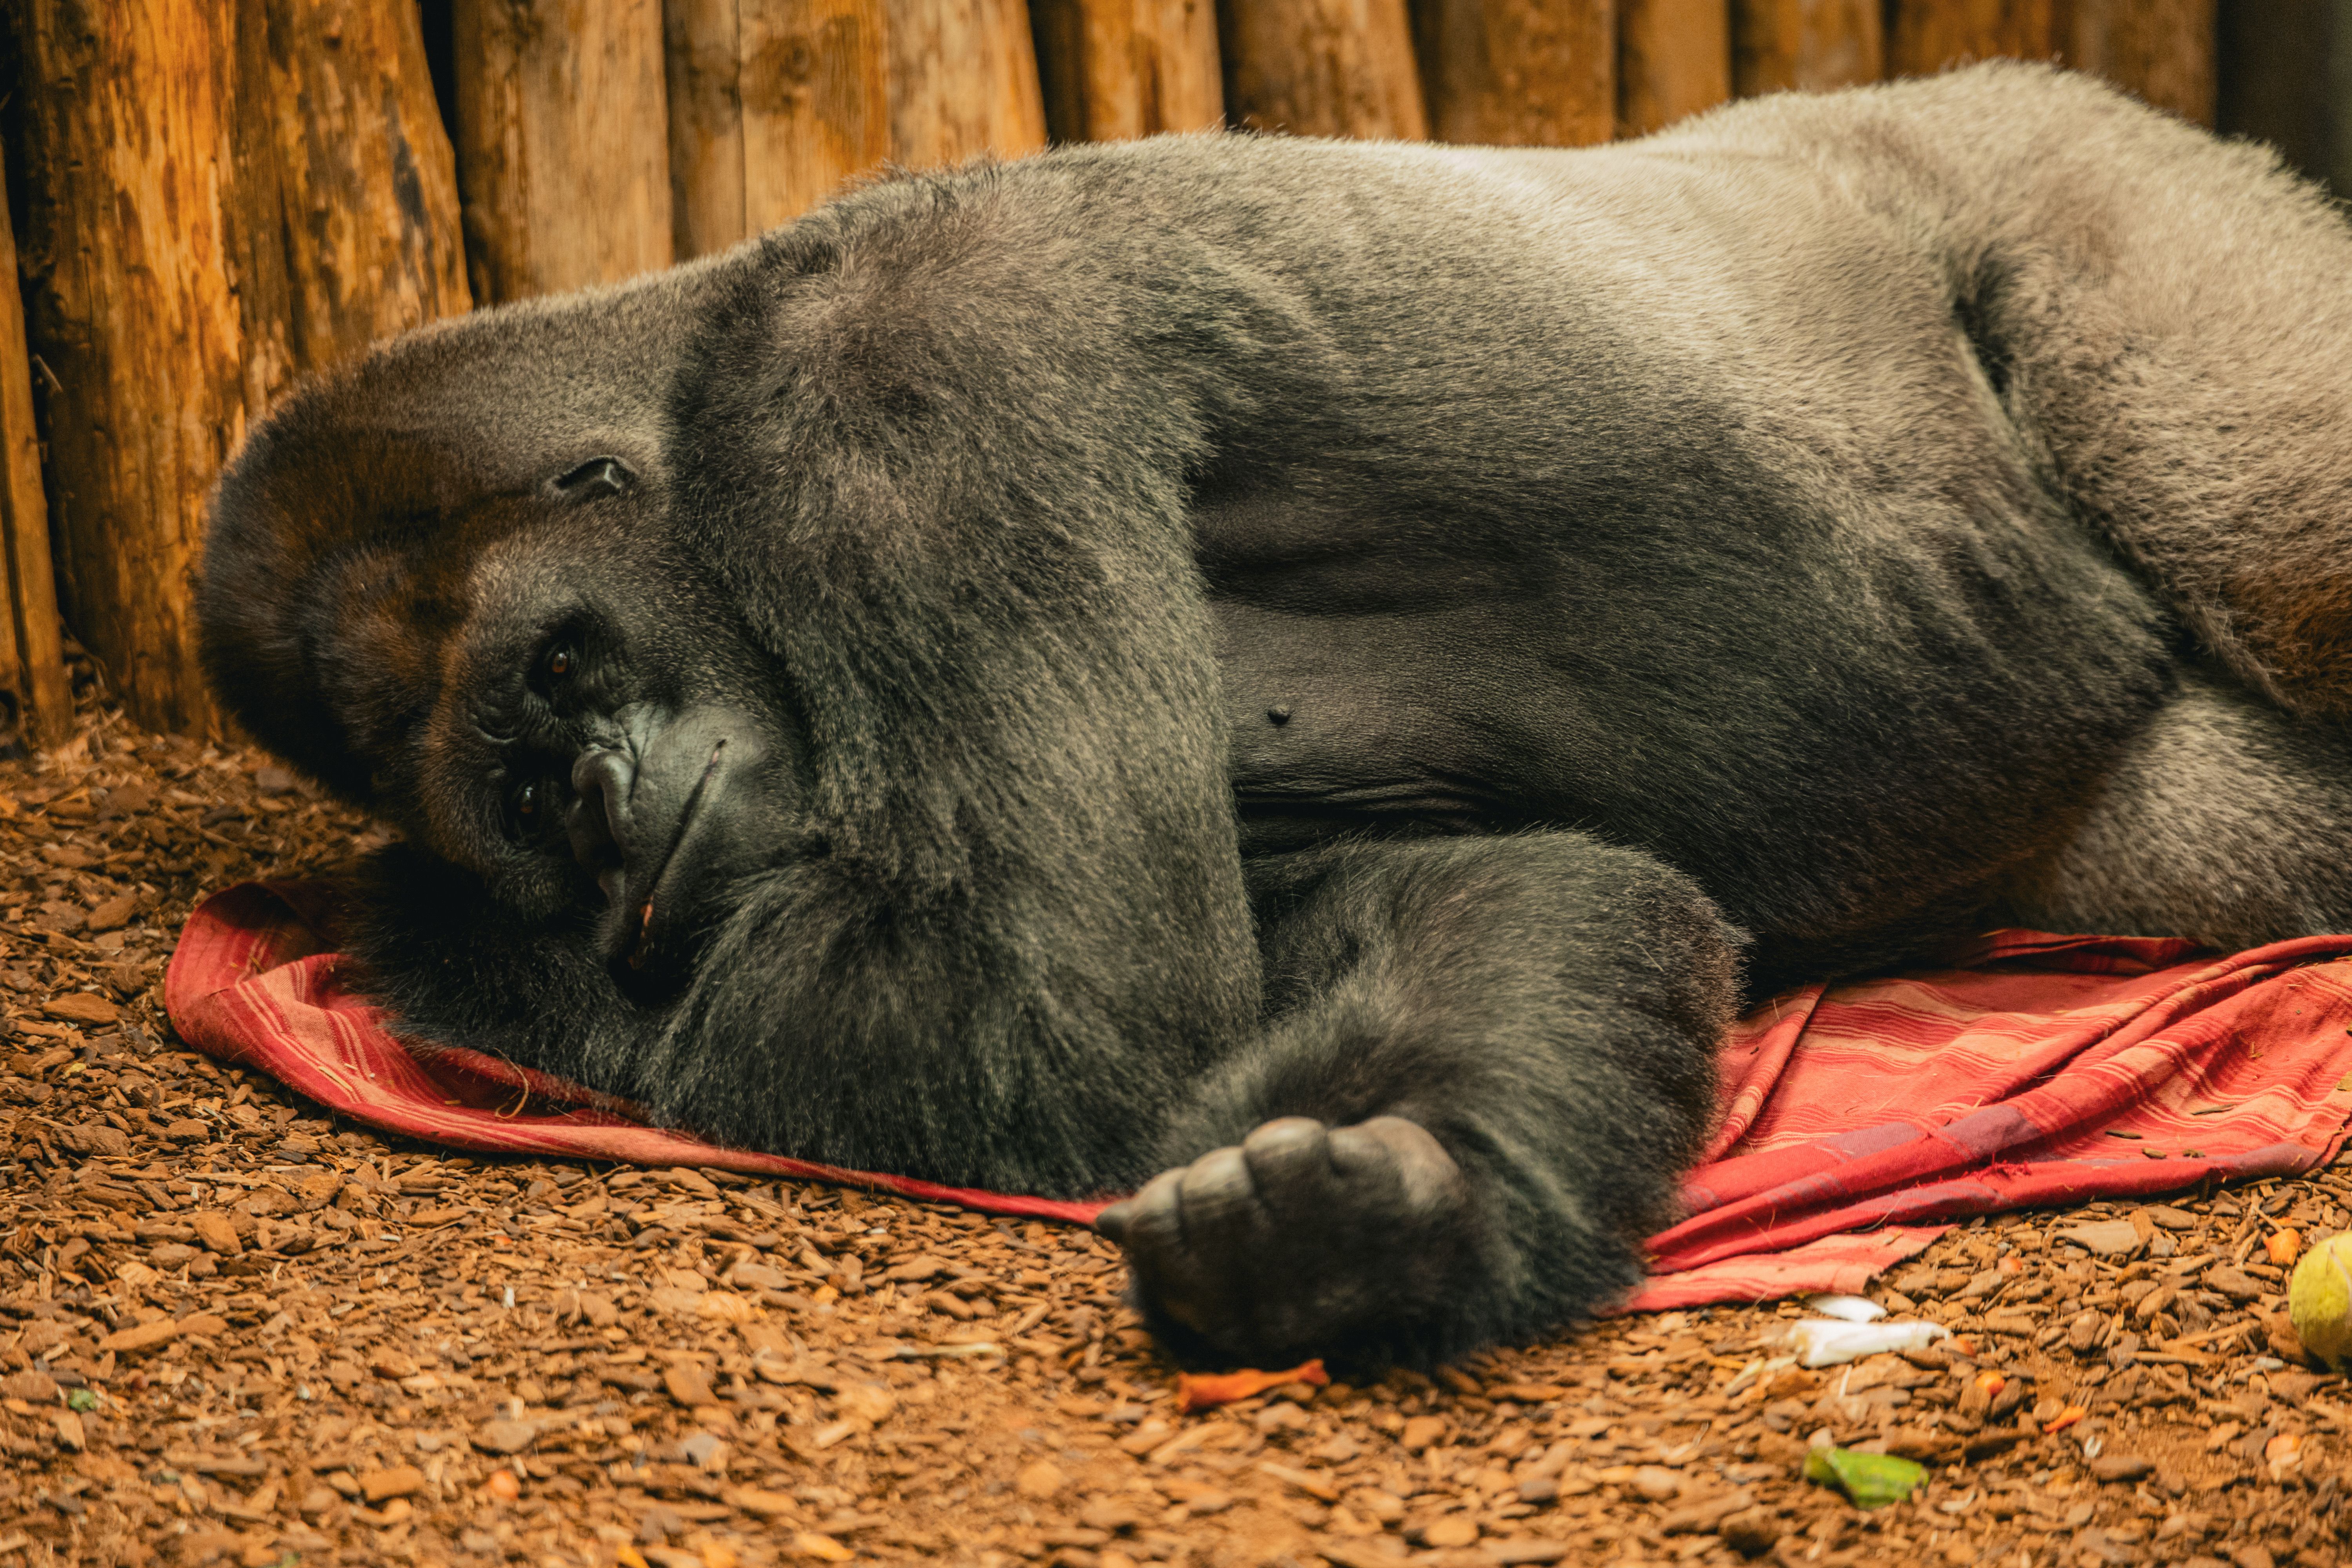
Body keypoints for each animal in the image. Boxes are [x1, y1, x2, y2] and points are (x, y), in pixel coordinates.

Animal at [198, 63, 2352, 1368]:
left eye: (552, 680)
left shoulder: (898, 363)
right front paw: (1386, 1223)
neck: (681, 335)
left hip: (2062, 193)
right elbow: (1521, 901)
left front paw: (436, 943)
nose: (600, 800)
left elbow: (1059, 1005)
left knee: (2270, 515)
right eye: (523, 792)